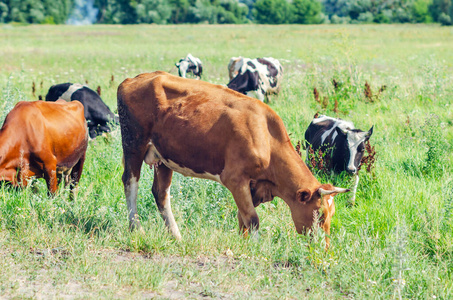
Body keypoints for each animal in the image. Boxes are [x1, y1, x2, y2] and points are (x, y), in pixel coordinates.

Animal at [117, 71, 350, 247]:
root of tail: (134, 79)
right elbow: (253, 219)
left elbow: (243, 218)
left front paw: (243, 243)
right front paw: (256, 248)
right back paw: (136, 229)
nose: (325, 248)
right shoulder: (235, 179)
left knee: (161, 193)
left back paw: (176, 235)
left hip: (164, 157)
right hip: (134, 143)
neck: (267, 137)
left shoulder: (254, 186)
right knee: (130, 183)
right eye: (320, 214)